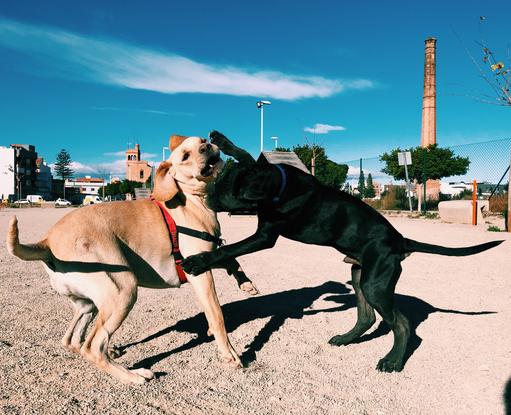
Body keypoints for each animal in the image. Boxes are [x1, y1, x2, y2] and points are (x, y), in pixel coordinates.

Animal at [182, 131, 506, 374]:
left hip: (376, 283)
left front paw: (197, 261)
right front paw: (222, 141)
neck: (283, 185)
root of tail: (400, 240)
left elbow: (227, 249)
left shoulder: (265, 236)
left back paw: (393, 361)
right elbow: (246, 155)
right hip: (360, 274)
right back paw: (347, 339)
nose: (207, 198)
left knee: (401, 325)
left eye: (226, 188)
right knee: (367, 317)